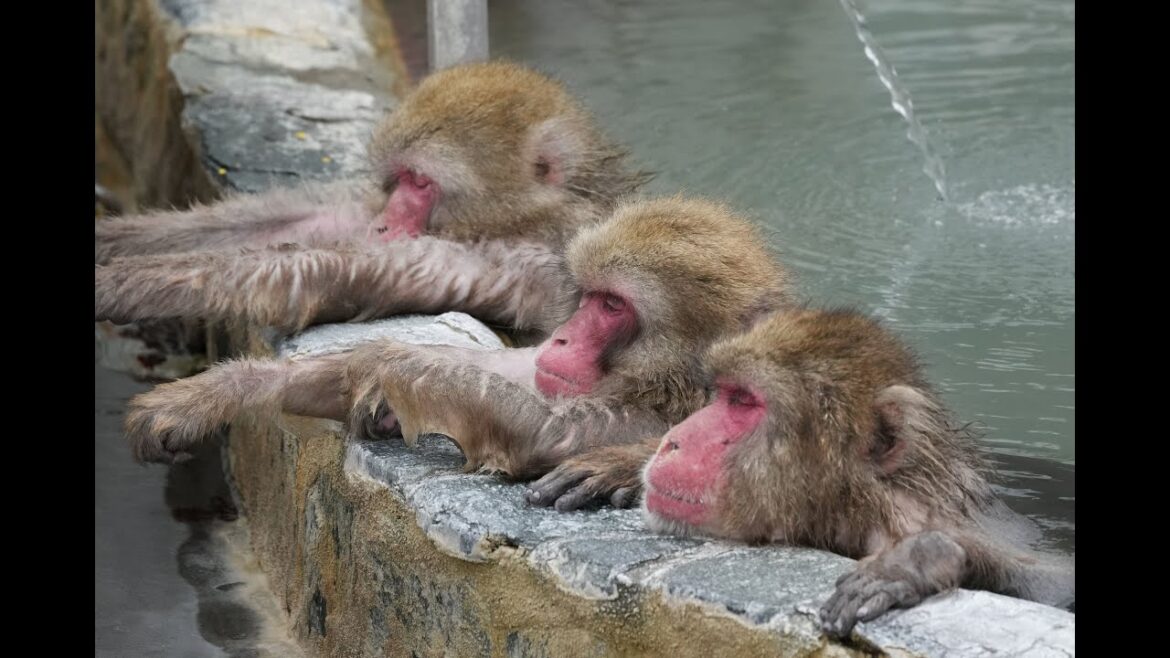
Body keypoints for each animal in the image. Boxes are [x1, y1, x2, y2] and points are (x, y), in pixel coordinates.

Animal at [95, 61, 652, 339]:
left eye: (421, 183)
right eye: (399, 179)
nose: (386, 223)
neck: (528, 217)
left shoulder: (538, 257)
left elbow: (338, 270)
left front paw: (116, 285)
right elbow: (299, 222)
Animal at [120, 197, 793, 482]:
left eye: (614, 307)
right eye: (589, 297)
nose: (564, 339)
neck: (653, 381)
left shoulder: (666, 420)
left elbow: (547, 436)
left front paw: (394, 361)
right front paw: (213, 394)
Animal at [532, 307, 1074, 637]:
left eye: (744, 402)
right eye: (722, 394)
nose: (674, 440)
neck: (855, 504)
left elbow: (1053, 587)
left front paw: (920, 558)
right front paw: (623, 463)